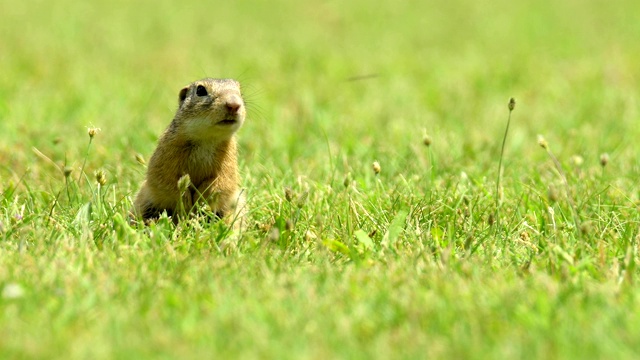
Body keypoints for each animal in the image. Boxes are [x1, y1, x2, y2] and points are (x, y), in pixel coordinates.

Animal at [132, 78, 245, 225]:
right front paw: (185, 201)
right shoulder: (166, 154)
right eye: (201, 90)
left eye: (240, 91)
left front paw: (201, 200)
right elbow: (165, 179)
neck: (207, 138)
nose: (234, 104)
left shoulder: (228, 162)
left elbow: (223, 182)